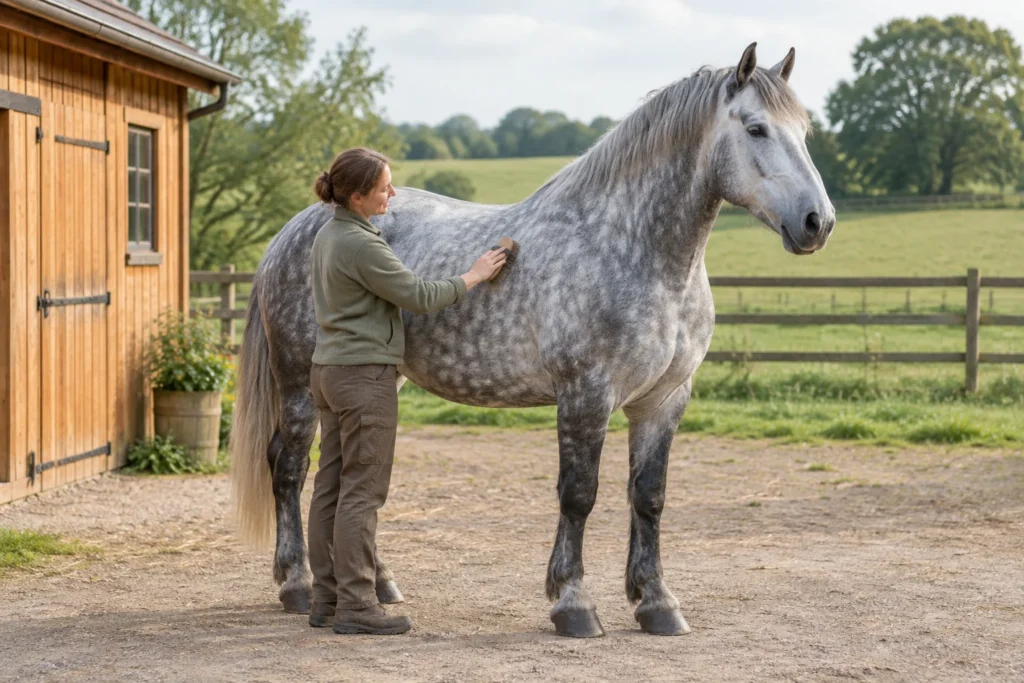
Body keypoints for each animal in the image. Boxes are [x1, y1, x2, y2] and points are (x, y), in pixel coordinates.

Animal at [230, 43, 835, 637]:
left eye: (804, 130)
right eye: (755, 128)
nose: (818, 222)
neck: (633, 248)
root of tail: (296, 228)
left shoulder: (664, 400)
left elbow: (649, 497)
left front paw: (657, 602)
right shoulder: (586, 395)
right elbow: (579, 495)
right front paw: (573, 603)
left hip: (380, 384)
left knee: (349, 476)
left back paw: (379, 585)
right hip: (299, 385)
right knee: (289, 468)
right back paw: (297, 584)